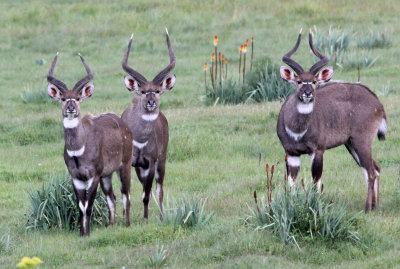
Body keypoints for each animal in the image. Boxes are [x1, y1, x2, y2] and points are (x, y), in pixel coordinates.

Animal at [46, 52, 131, 234]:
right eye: (63, 98)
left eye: (78, 98)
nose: (71, 108)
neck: (78, 150)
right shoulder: (76, 177)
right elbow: (81, 206)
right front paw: (82, 233)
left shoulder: (94, 175)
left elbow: (89, 205)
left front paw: (87, 233)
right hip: (107, 175)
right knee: (112, 196)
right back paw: (111, 224)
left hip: (124, 166)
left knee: (126, 195)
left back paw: (128, 224)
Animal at [121, 28, 176, 220]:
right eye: (144, 91)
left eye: (158, 91)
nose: (151, 102)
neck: (139, 140)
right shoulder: (129, 163)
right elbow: (127, 193)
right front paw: (125, 216)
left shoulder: (150, 162)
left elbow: (146, 193)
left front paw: (145, 218)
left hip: (162, 159)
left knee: (158, 189)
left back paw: (161, 216)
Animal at [278, 28, 388, 211]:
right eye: (299, 81)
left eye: (314, 81)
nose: (308, 93)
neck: (297, 130)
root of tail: (378, 103)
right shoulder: (292, 153)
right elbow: (292, 184)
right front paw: (292, 207)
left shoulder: (317, 151)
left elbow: (316, 182)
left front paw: (314, 207)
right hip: (351, 144)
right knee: (374, 168)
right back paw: (374, 205)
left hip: (362, 141)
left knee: (371, 172)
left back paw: (367, 209)